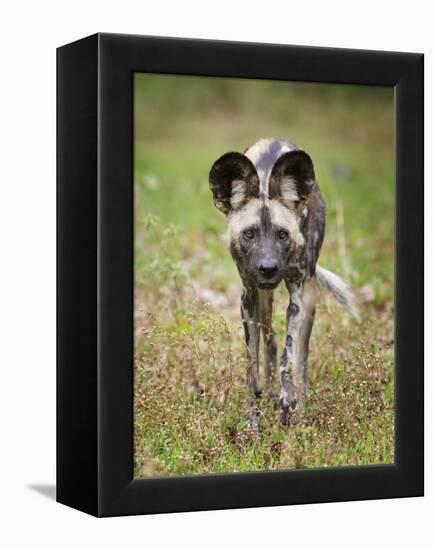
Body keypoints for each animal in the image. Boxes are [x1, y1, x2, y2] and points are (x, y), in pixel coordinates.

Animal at [209, 138, 356, 432]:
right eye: (249, 234)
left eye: (282, 234)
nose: (268, 268)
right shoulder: (248, 296)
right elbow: (251, 362)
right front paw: (253, 417)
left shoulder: (299, 292)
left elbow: (289, 357)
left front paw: (288, 401)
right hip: (264, 301)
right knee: (270, 341)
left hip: (308, 299)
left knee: (301, 356)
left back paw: (300, 408)